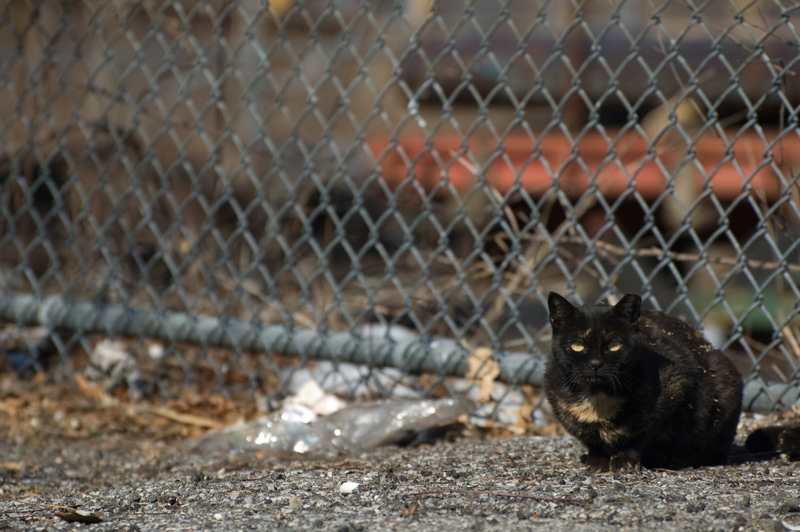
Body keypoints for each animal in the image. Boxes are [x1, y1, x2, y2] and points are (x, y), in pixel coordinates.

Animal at [544, 294, 744, 472]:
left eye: (614, 345)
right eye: (577, 345)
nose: (595, 364)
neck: (597, 396)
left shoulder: (676, 384)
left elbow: (639, 435)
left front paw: (625, 461)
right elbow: (592, 439)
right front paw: (596, 461)